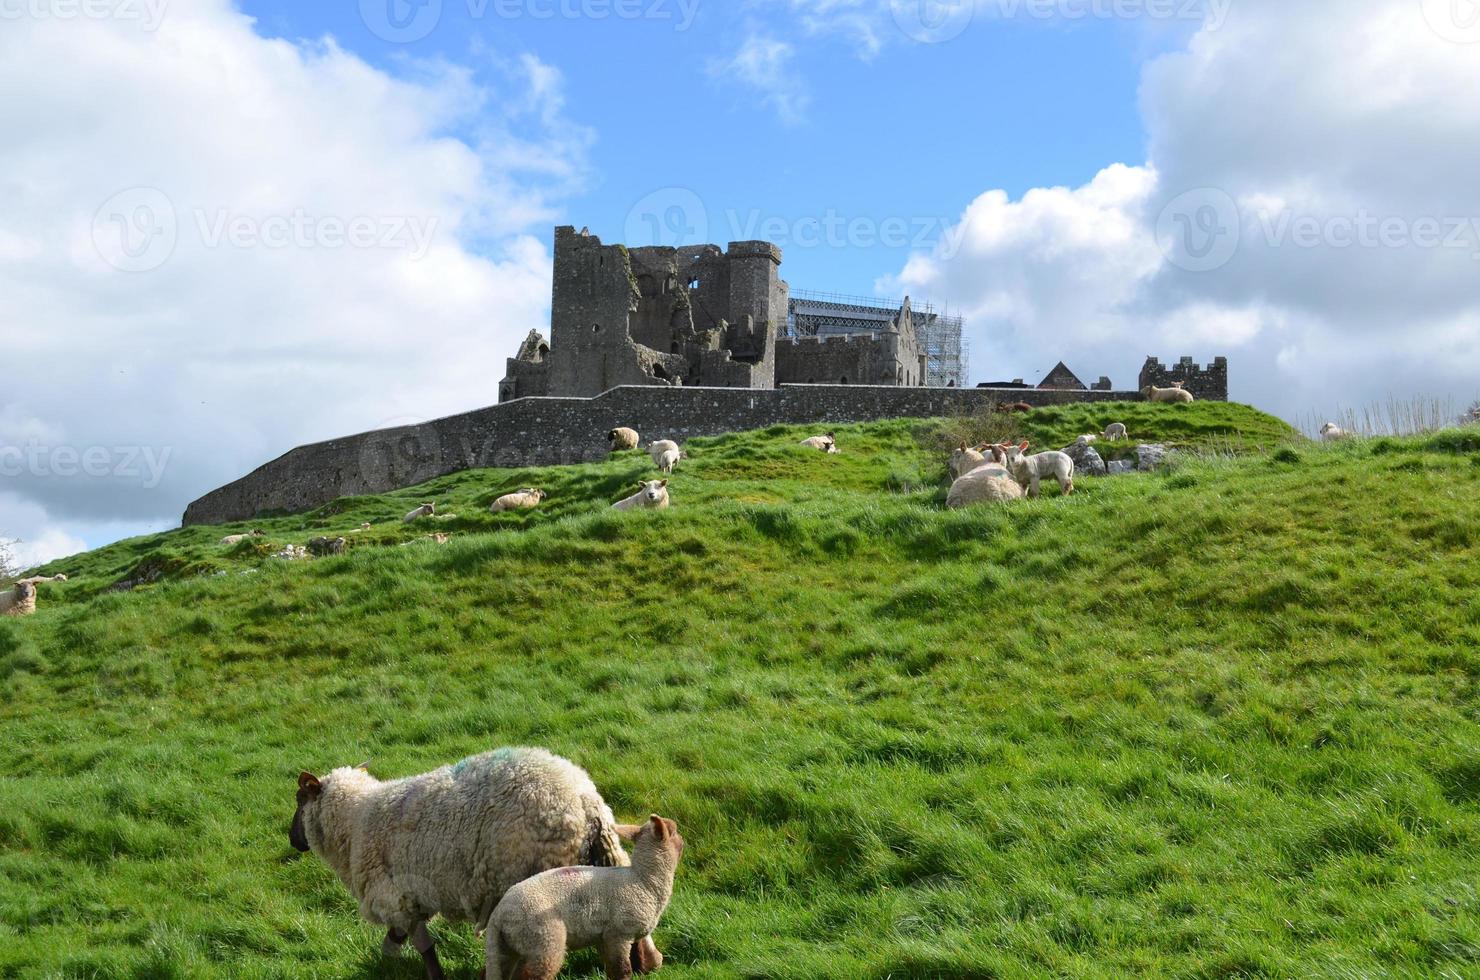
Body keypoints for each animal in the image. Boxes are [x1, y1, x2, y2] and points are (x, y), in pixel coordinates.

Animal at [288, 749, 660, 977]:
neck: (357, 820)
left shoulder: (397, 897)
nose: (293, 840)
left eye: (298, 799)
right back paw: (647, 963)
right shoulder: (413, 899)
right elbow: (402, 941)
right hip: (605, 861)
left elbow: (421, 947)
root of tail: (587, 802)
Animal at [491, 817, 686, 980]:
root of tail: (498, 913)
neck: (644, 880)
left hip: (511, 946)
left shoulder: (604, 938)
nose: (683, 839)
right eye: (674, 831)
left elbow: (612, 971)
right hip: (543, 939)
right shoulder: (618, 935)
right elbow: (622, 971)